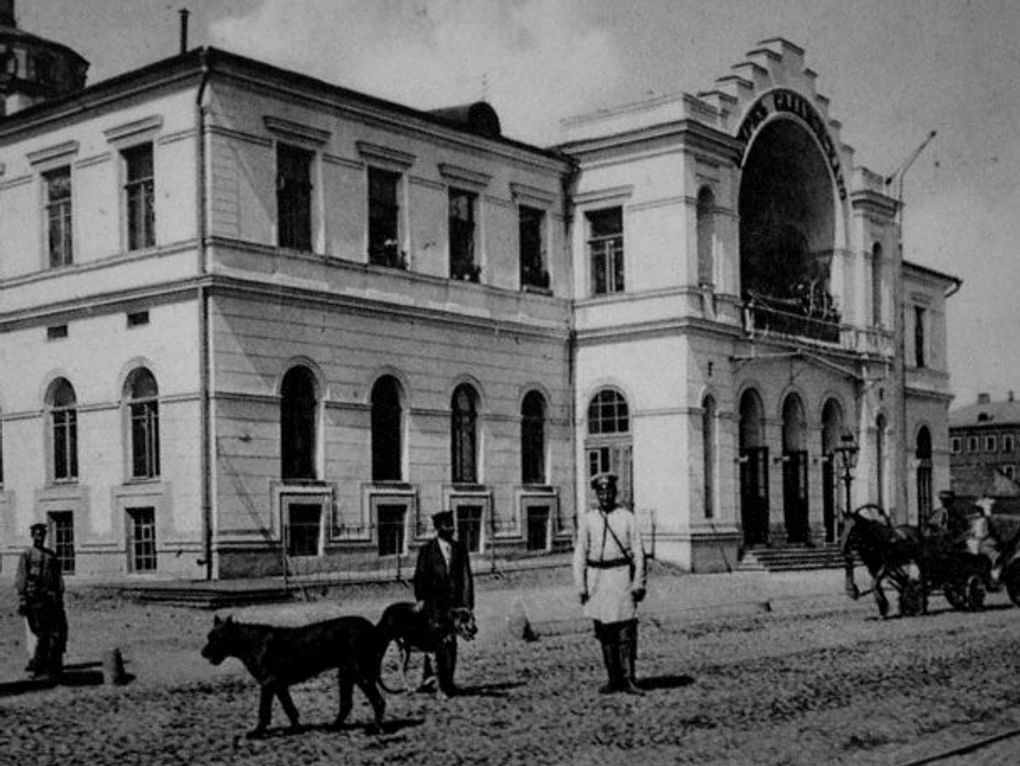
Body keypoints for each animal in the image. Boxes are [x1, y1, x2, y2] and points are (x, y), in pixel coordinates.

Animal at [200, 616, 383, 734]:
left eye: (217, 638)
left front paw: (257, 732)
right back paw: (333, 727)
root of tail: (371, 627)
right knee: (346, 704)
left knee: (378, 701)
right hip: (347, 674)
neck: (249, 642)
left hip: (359, 673)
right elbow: (289, 708)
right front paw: (295, 729)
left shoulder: (268, 683)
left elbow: (264, 710)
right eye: (208, 636)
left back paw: (374, 729)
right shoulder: (279, 685)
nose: (203, 653)